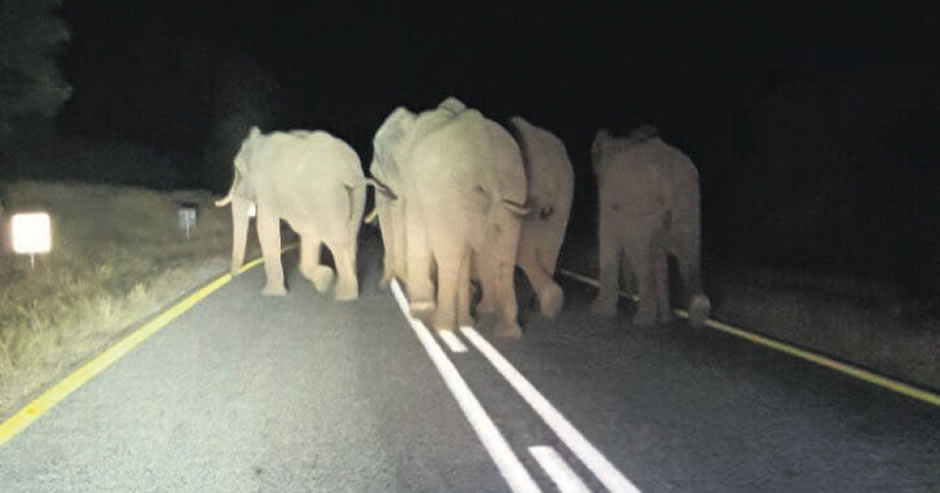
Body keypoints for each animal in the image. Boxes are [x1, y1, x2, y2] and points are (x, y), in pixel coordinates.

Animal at [215, 126, 366, 300]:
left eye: (238, 172)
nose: (233, 276)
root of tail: (350, 168)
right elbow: (308, 232)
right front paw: (324, 280)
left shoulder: (267, 187)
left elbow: (266, 229)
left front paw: (270, 294)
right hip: (356, 194)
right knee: (351, 234)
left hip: (328, 196)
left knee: (336, 240)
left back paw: (345, 296)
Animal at [367, 97, 530, 337]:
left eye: (381, 164)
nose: (383, 286)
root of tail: (486, 155)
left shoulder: (414, 185)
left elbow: (416, 232)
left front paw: (420, 308)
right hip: (512, 189)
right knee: (502, 256)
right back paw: (504, 332)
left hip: (450, 194)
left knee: (450, 254)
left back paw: (441, 325)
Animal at [589, 125, 711, 327]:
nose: (630, 295)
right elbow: (659, 258)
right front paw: (665, 319)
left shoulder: (612, 205)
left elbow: (609, 244)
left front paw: (599, 312)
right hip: (689, 205)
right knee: (683, 257)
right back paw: (693, 318)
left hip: (646, 208)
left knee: (642, 258)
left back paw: (643, 321)